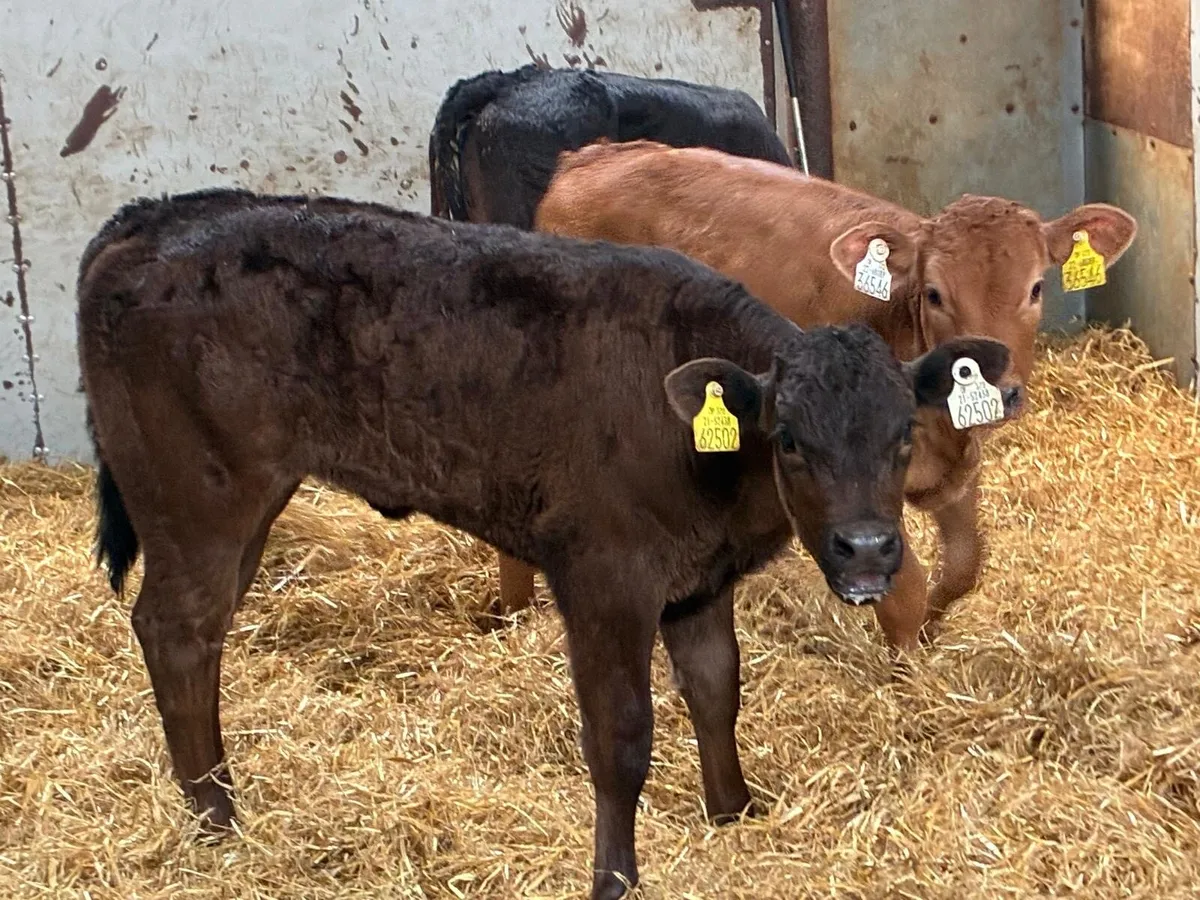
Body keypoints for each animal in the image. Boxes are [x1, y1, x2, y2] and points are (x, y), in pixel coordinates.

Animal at [78, 188, 1007, 900]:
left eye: (900, 436)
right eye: (790, 441)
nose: (868, 551)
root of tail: (151, 218)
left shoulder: (699, 579)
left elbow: (717, 691)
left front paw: (734, 810)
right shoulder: (604, 579)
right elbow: (621, 738)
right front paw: (615, 877)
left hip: (238, 509)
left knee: (192, 637)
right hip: (201, 498)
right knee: (175, 630)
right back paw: (218, 819)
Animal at [519, 139, 1139, 651]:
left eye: (1036, 287)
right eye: (935, 294)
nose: (995, 389)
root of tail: (590, 157)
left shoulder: (953, 473)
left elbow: (964, 565)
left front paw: (933, 629)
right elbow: (905, 586)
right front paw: (908, 673)